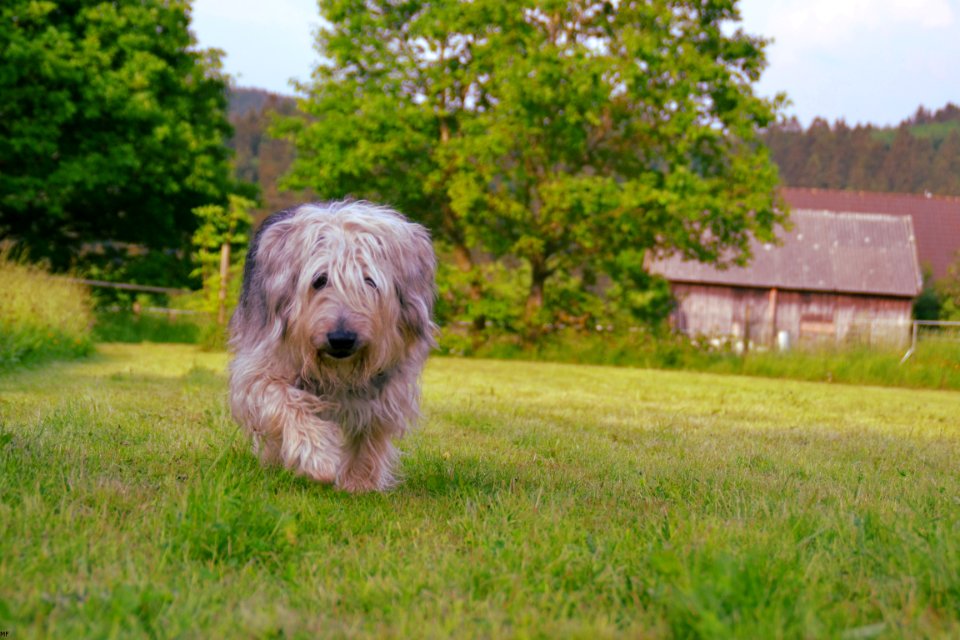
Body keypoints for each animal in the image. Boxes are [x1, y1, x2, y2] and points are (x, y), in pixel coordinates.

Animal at [227, 202, 436, 492]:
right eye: (320, 280)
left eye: (369, 281)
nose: (341, 338)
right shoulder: (260, 368)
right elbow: (285, 402)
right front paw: (319, 457)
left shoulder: (389, 386)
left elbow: (370, 428)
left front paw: (359, 483)